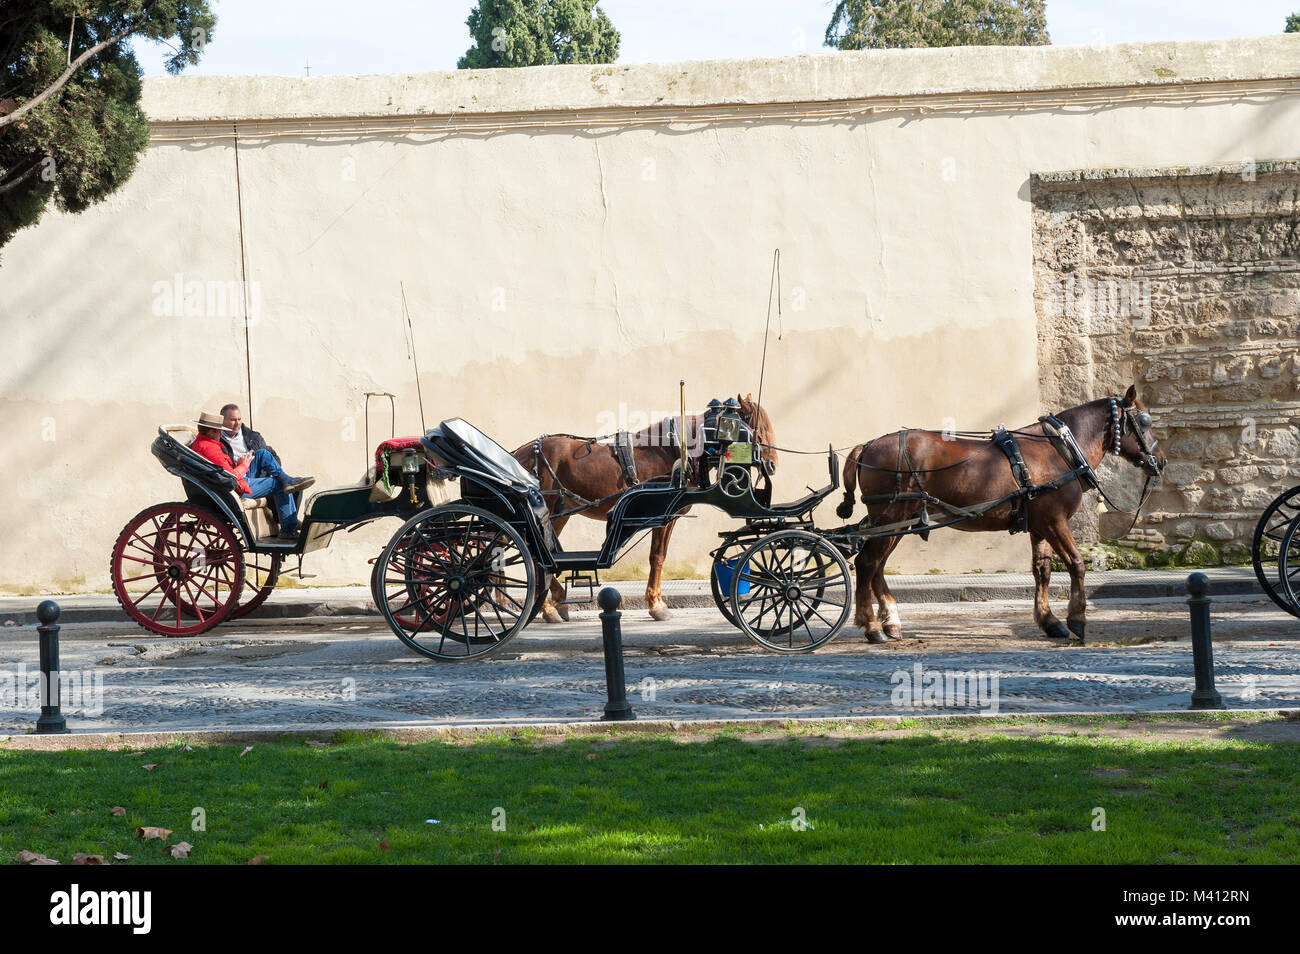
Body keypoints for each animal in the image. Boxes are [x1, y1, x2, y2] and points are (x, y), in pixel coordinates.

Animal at [512, 392, 774, 623]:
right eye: (756, 428)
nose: (772, 464)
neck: (672, 448)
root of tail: (520, 452)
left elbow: (659, 556)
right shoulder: (663, 516)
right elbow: (657, 556)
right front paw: (657, 605)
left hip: (557, 514)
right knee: (536, 558)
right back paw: (550, 608)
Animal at [837, 384, 1164, 647]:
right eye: (1144, 421)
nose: (1160, 461)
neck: (1060, 450)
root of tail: (868, 445)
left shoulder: (1040, 525)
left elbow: (1042, 571)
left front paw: (1049, 621)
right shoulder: (1056, 522)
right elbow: (1076, 564)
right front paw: (1077, 619)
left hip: (896, 523)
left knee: (877, 567)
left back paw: (890, 621)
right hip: (890, 517)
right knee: (867, 564)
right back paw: (872, 626)